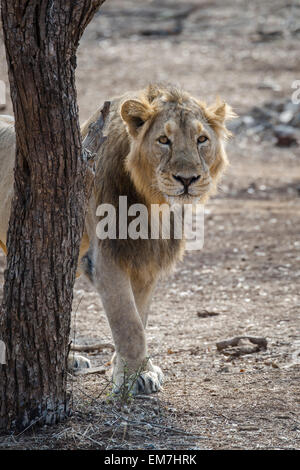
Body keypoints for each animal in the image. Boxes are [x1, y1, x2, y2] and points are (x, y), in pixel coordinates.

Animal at [0, 83, 234, 392]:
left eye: (202, 139)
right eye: (163, 140)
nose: (187, 179)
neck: (154, 205)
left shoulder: (145, 261)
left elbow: (140, 316)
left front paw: (128, 368)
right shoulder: (106, 259)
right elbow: (129, 323)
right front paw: (136, 377)